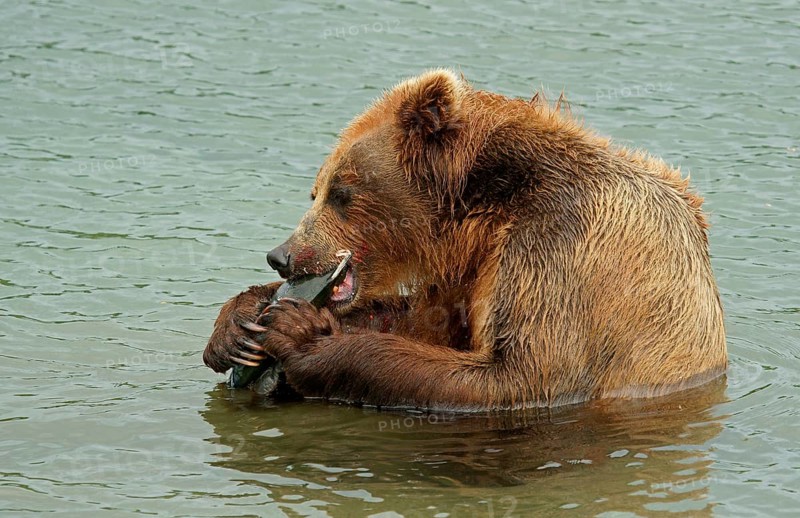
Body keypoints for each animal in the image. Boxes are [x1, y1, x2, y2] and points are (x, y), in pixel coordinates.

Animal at [203, 69, 727, 411]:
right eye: (315, 190)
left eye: (341, 192)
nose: (282, 255)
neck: (491, 203)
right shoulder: (473, 265)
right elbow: (428, 322)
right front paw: (239, 321)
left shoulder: (559, 243)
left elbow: (521, 374)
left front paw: (302, 333)